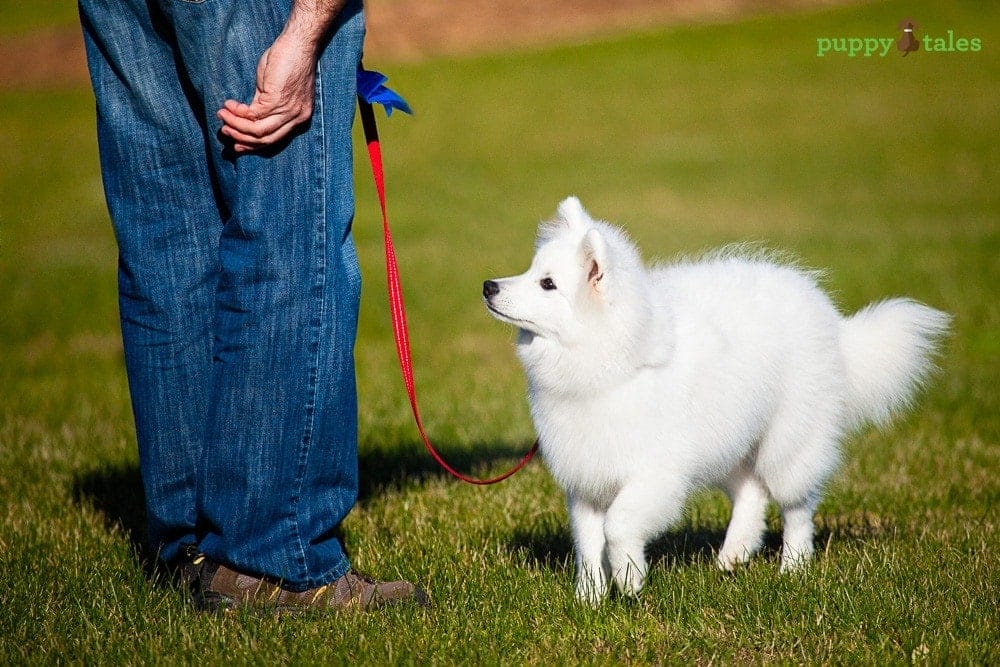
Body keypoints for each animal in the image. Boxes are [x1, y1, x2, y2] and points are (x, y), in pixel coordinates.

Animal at [484, 198, 952, 604]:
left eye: (548, 284)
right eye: (530, 270)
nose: (489, 286)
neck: (614, 366)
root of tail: (836, 326)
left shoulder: (656, 474)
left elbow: (618, 527)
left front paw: (630, 581)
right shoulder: (585, 479)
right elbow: (587, 545)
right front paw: (590, 599)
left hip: (788, 442)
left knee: (796, 506)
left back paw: (793, 567)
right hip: (728, 441)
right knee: (752, 492)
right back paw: (733, 555)